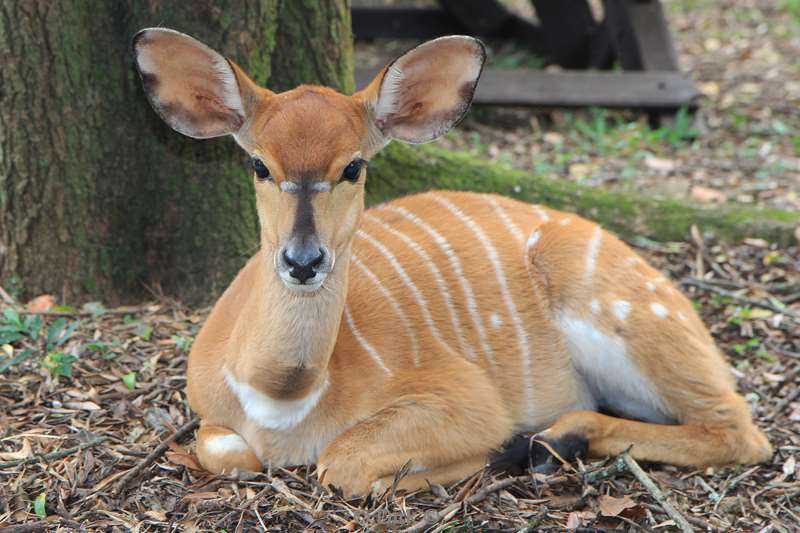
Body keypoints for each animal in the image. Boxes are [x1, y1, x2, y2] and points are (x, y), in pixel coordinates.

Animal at [134, 28, 772, 494]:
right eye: (259, 165)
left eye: (353, 166)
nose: (304, 260)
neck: (282, 399)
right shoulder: (211, 417)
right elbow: (227, 452)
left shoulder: (463, 398)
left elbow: (344, 463)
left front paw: (498, 452)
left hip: (635, 325)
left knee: (740, 429)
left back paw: (547, 444)